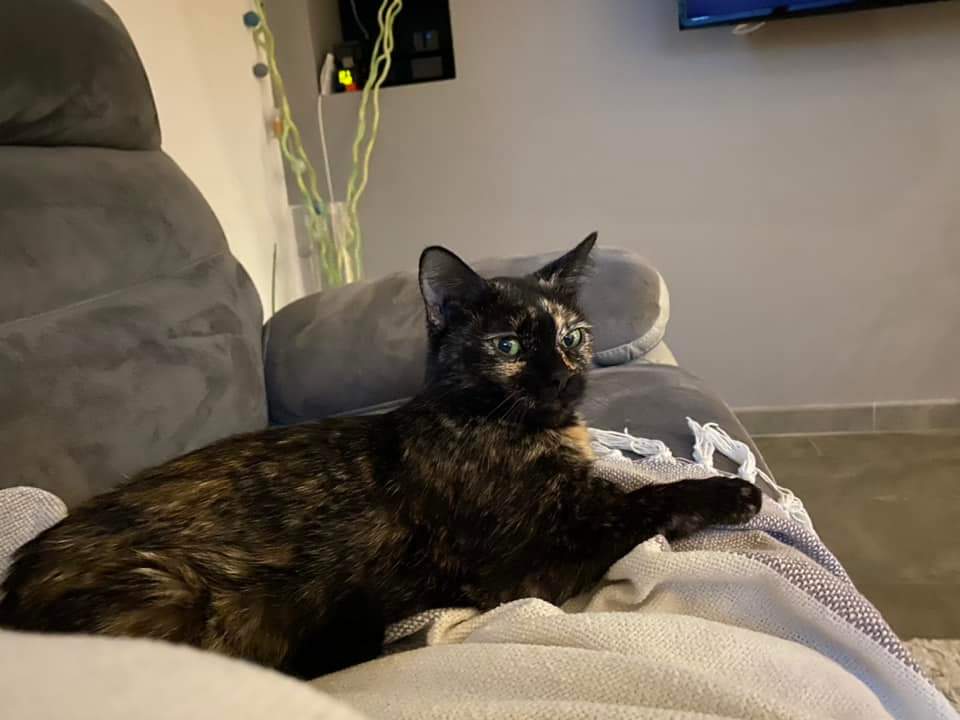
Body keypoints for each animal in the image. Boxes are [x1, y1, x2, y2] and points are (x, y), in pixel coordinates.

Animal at [0, 233, 761, 678]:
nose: (563, 377)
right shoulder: (518, 567)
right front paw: (729, 493)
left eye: (573, 336)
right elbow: (634, 504)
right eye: (509, 346)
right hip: (172, 599)